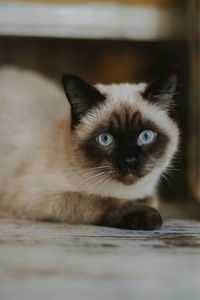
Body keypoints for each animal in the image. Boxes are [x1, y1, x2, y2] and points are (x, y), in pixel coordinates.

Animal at [0, 65, 179, 230]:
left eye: (146, 136)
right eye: (105, 139)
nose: (130, 161)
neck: (128, 192)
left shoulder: (149, 193)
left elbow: (151, 199)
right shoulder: (36, 196)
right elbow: (102, 201)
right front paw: (149, 216)